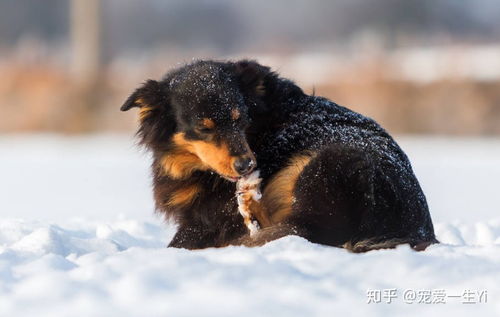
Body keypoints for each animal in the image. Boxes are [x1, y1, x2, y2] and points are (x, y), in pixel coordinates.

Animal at [121, 59, 438, 252]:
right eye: (203, 128)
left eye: (239, 118)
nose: (247, 165)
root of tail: (419, 230)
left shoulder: (213, 218)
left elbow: (180, 242)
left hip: (335, 162)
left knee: (306, 229)